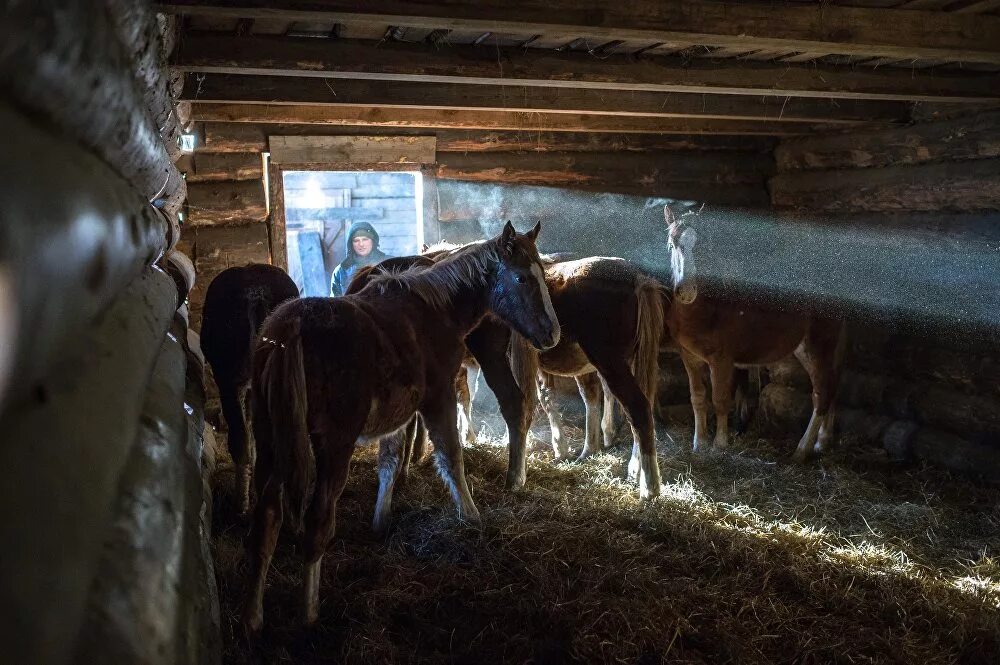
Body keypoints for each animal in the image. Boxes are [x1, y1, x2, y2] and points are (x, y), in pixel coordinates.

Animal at [238, 222, 560, 628]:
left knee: (265, 522)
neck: (434, 307)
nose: (552, 334)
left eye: (543, 274)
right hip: (333, 446)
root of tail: (288, 332)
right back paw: (309, 612)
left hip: (272, 442)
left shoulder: (398, 413)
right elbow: (451, 456)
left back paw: (252, 617)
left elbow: (390, 461)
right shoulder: (438, 396)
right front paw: (471, 516)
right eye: (520, 277)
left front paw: (382, 519)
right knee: (316, 522)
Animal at [660, 208, 848, 462]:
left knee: (822, 392)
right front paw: (699, 444)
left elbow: (720, 399)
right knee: (832, 385)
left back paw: (802, 450)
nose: (686, 291)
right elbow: (698, 398)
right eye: (671, 245)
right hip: (807, 349)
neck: (706, 310)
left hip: (819, 345)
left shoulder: (722, 360)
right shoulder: (689, 357)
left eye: (703, 245)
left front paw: (719, 445)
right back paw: (822, 442)